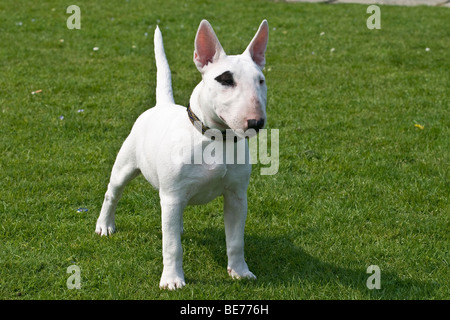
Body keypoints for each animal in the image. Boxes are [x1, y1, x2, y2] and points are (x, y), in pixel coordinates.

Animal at [95, 20, 268, 290]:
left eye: (260, 80)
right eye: (225, 80)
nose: (256, 122)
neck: (216, 139)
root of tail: (162, 105)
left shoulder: (237, 197)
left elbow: (236, 240)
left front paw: (240, 271)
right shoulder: (172, 197)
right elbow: (171, 245)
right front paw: (172, 279)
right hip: (125, 166)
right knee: (112, 193)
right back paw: (104, 225)